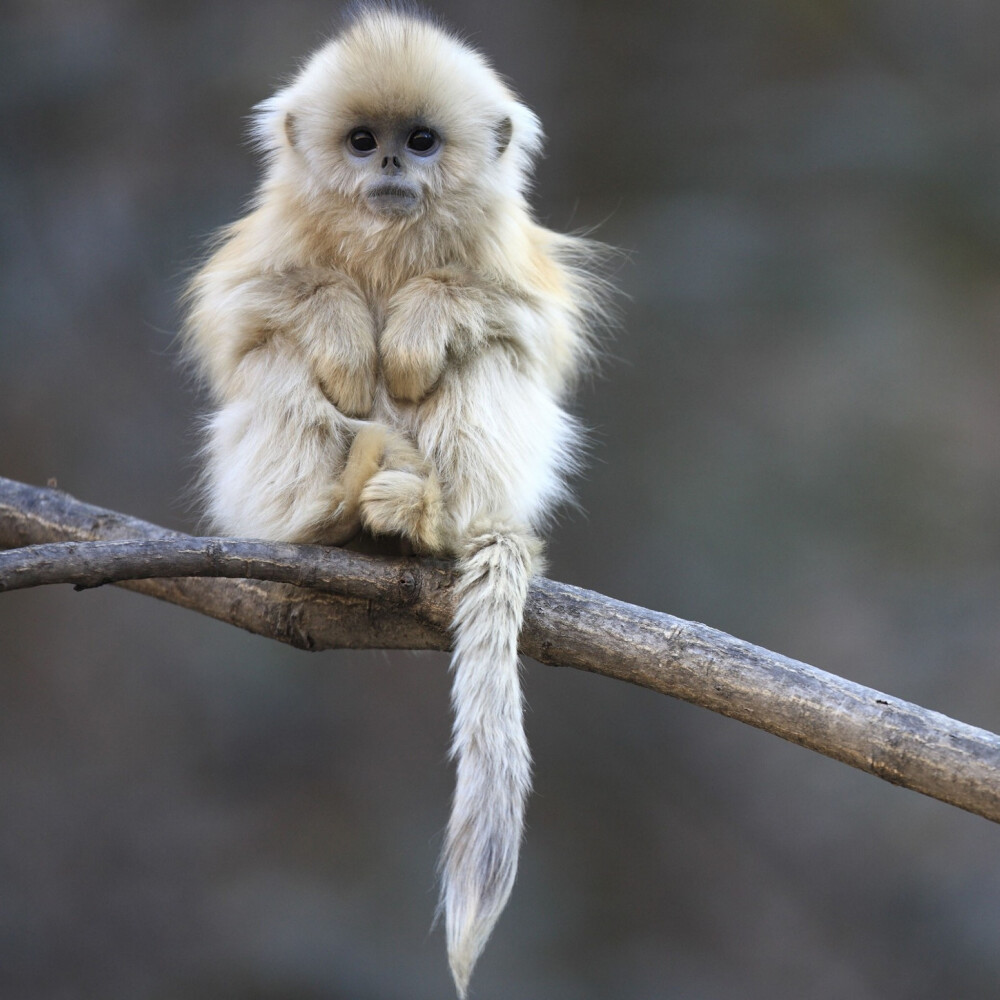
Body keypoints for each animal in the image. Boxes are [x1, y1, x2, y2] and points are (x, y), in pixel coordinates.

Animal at [187, 5, 604, 992]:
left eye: (421, 141)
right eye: (361, 141)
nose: (388, 168)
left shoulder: (509, 260)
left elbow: (521, 324)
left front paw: (415, 327)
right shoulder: (267, 249)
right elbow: (243, 317)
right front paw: (344, 332)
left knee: (489, 359)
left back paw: (428, 519)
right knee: (275, 359)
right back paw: (331, 513)